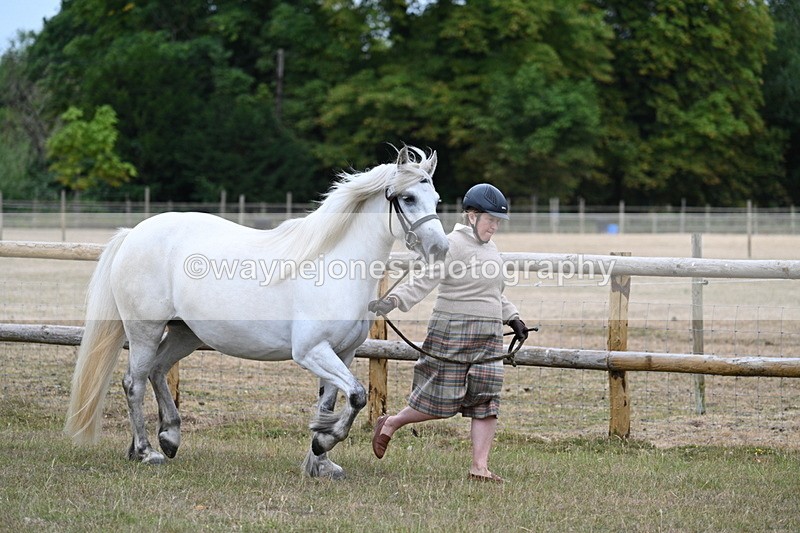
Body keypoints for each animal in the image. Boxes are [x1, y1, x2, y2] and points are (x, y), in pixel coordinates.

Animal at [64, 145, 449, 479]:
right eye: (408, 198)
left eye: (436, 200)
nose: (440, 249)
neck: (332, 265)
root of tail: (133, 234)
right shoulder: (312, 351)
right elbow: (356, 395)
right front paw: (323, 442)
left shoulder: (343, 353)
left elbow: (328, 404)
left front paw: (321, 463)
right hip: (144, 329)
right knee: (135, 382)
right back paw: (146, 452)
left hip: (186, 333)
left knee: (157, 371)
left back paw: (168, 439)